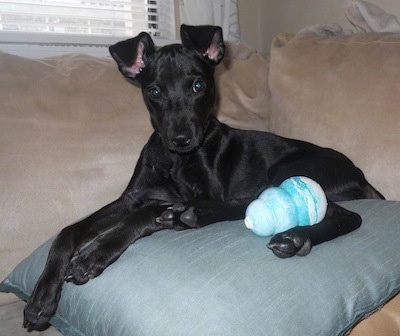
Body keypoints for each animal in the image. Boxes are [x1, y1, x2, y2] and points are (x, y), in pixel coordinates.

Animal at [23, 25, 382, 330]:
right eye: (154, 91)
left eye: (198, 86)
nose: (181, 137)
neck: (175, 160)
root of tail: (361, 175)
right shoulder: (131, 197)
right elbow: (69, 231)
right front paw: (42, 296)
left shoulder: (201, 193)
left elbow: (145, 213)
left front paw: (95, 253)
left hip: (288, 170)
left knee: (346, 216)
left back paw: (288, 236)